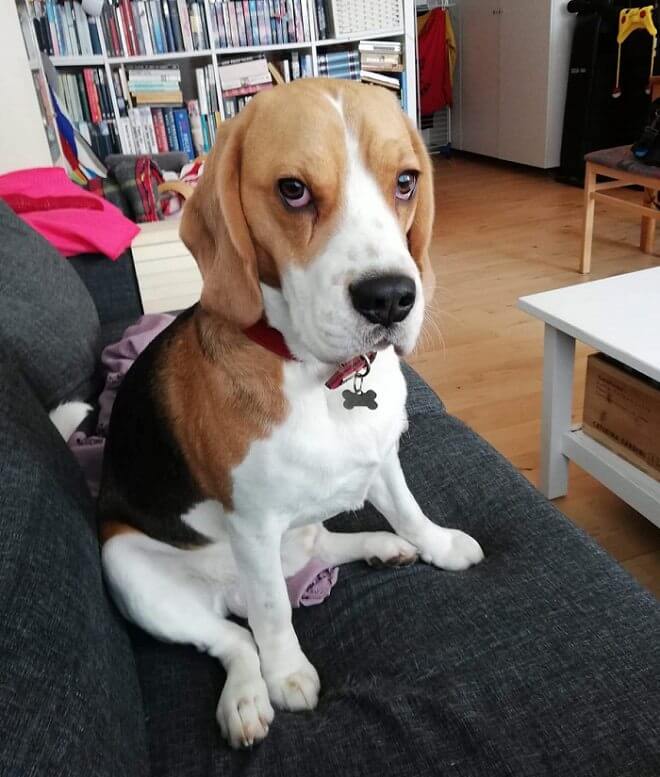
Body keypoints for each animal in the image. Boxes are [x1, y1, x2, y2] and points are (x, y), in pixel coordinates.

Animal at [98, 77, 482, 744]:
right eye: (293, 190)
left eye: (406, 181)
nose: (391, 299)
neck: (322, 378)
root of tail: (225, 593)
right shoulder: (252, 524)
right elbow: (275, 614)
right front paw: (289, 675)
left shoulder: (382, 459)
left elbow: (410, 509)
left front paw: (435, 543)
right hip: (127, 566)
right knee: (237, 637)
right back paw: (249, 695)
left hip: (296, 535)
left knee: (321, 549)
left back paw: (382, 546)